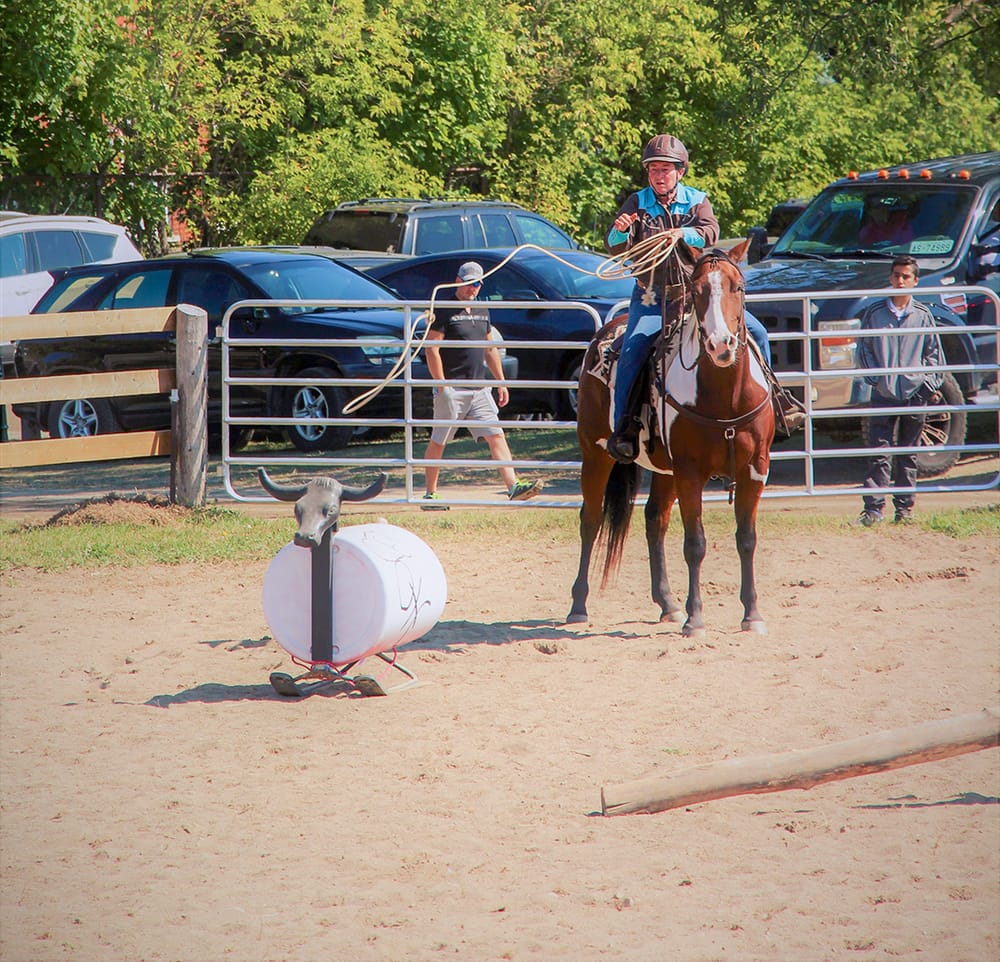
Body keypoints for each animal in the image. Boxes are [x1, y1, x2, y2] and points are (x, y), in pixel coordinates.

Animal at [567, 237, 776, 636]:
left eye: (737, 287)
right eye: (697, 291)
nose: (721, 345)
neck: (724, 396)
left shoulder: (755, 468)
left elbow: (747, 539)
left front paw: (753, 615)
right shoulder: (690, 471)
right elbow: (695, 543)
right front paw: (696, 620)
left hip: (665, 469)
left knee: (655, 521)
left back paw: (668, 604)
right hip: (596, 453)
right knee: (590, 519)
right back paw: (578, 606)